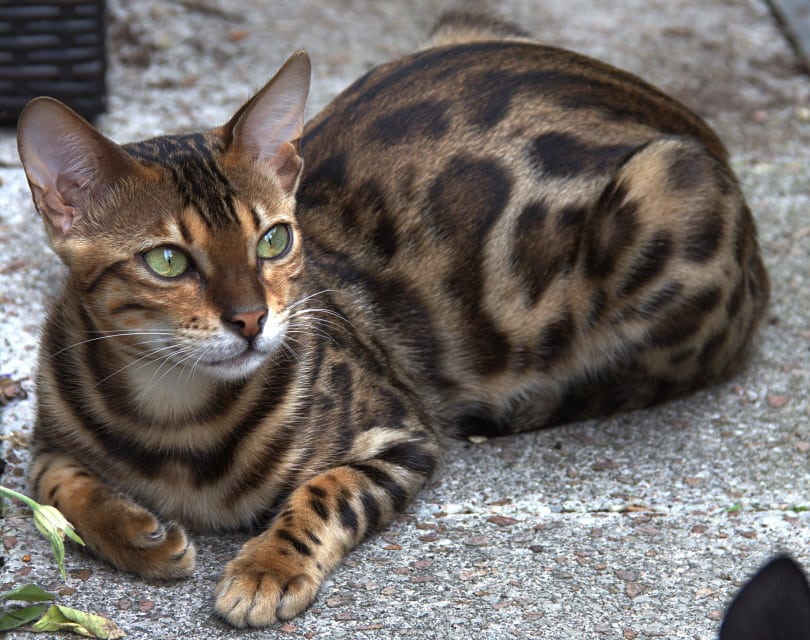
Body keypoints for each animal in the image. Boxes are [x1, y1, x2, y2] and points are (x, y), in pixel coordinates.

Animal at [15, 11, 768, 632]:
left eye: (273, 241)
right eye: (168, 260)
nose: (252, 319)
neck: (175, 417)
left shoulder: (402, 434)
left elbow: (323, 491)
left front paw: (267, 568)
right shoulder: (45, 442)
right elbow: (57, 487)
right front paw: (139, 534)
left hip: (669, 192)